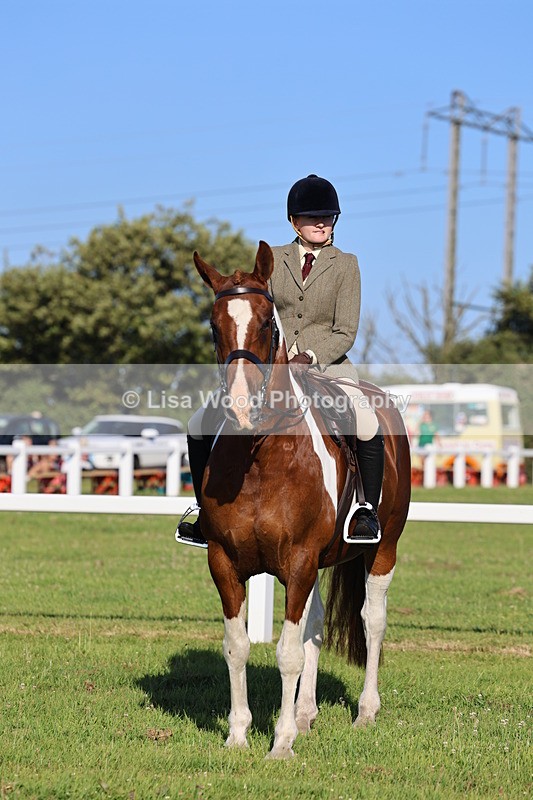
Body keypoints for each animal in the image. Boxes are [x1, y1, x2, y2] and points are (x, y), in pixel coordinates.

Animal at [192, 240, 411, 759]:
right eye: (214, 325)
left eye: (266, 324)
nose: (240, 406)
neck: (259, 457)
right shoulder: (224, 561)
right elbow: (238, 646)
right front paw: (238, 735)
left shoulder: (299, 559)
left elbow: (287, 651)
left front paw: (282, 742)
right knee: (313, 625)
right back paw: (308, 713)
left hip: (383, 547)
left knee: (372, 620)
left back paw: (365, 713)